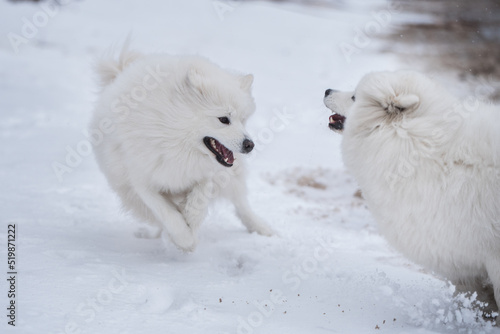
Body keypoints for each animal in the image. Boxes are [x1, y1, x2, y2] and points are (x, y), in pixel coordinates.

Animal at [88, 45, 272, 252]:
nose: (250, 145)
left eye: (243, 119)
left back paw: (263, 228)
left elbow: (200, 196)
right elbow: (167, 214)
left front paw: (191, 217)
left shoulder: (205, 172)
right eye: (224, 119)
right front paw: (185, 240)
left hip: (233, 179)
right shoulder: (142, 182)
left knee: (241, 204)